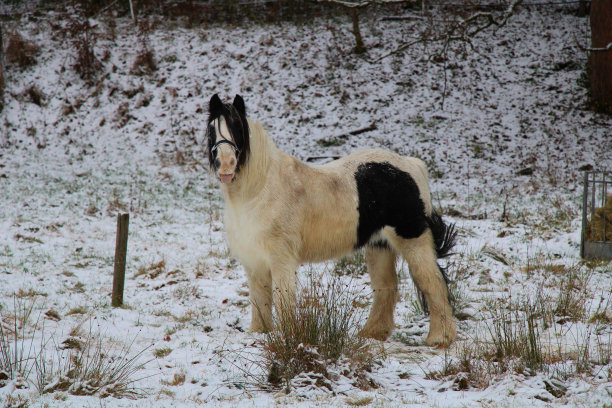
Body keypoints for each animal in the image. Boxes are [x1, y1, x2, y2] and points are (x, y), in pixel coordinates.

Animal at [208, 94, 456, 346]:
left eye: (237, 127)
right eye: (211, 129)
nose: (226, 165)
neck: (260, 189)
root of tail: (410, 164)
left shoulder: (281, 259)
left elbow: (284, 299)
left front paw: (287, 339)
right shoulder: (255, 262)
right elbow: (260, 301)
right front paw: (259, 335)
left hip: (413, 240)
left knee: (433, 283)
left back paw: (440, 338)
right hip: (380, 245)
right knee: (386, 288)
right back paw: (372, 334)